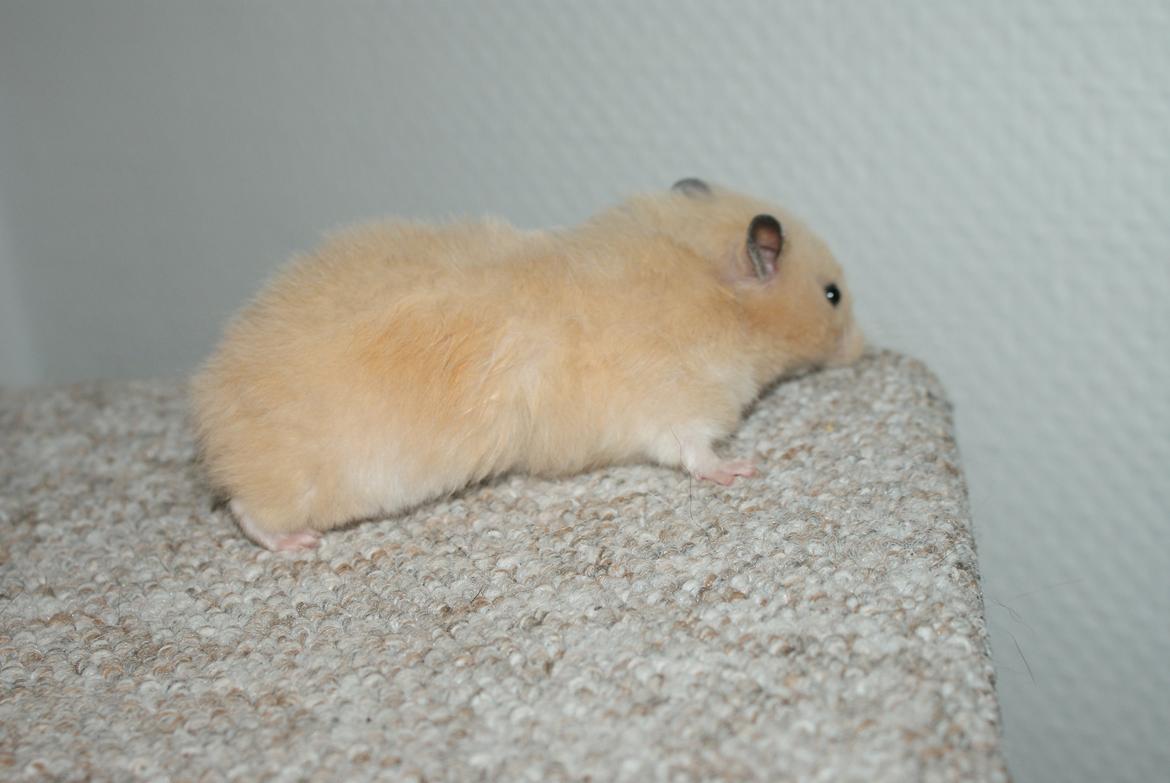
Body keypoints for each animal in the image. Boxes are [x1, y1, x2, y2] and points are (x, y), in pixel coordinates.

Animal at [191, 179, 864, 551]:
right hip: (323, 481)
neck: (716, 289)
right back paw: (293, 543)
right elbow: (697, 455)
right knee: (250, 510)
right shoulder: (681, 406)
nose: (863, 351)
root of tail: (214, 418)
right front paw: (742, 469)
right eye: (832, 294)